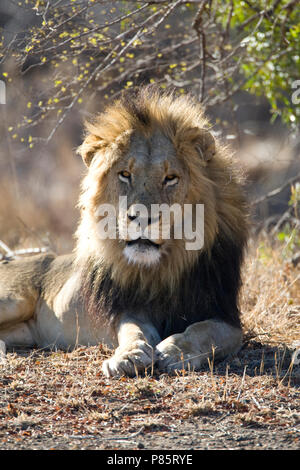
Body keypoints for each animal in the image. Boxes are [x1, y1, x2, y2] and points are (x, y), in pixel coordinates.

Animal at [0, 86, 247, 376]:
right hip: (14, 300)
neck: (163, 267)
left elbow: (204, 331)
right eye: (125, 174)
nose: (141, 218)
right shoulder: (129, 308)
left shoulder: (226, 317)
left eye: (170, 178)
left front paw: (176, 350)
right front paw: (130, 356)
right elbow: (133, 331)